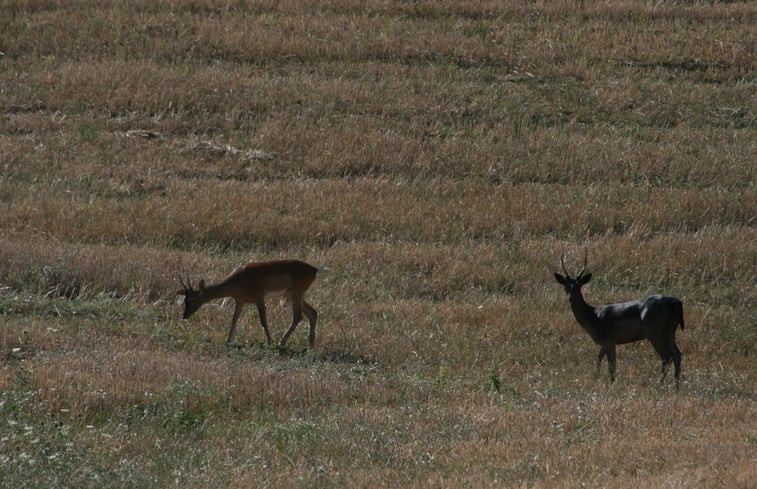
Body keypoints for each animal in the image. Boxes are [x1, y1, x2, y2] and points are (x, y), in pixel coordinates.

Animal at [179, 260, 322, 346]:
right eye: (185, 299)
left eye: (192, 299)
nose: (184, 316)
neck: (237, 281)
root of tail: (314, 269)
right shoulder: (240, 301)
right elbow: (234, 319)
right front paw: (228, 340)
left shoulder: (259, 298)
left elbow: (263, 320)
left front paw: (270, 341)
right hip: (297, 296)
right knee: (313, 313)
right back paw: (311, 344)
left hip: (295, 295)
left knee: (298, 316)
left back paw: (281, 342)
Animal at [548, 254, 684, 386]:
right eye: (566, 285)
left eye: (579, 285)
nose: (571, 297)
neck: (593, 317)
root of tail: (676, 302)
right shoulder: (608, 341)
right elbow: (600, 359)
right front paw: (599, 378)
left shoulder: (609, 338)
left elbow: (610, 364)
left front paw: (609, 383)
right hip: (670, 330)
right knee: (677, 354)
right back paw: (676, 385)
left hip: (654, 331)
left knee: (667, 356)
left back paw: (659, 384)